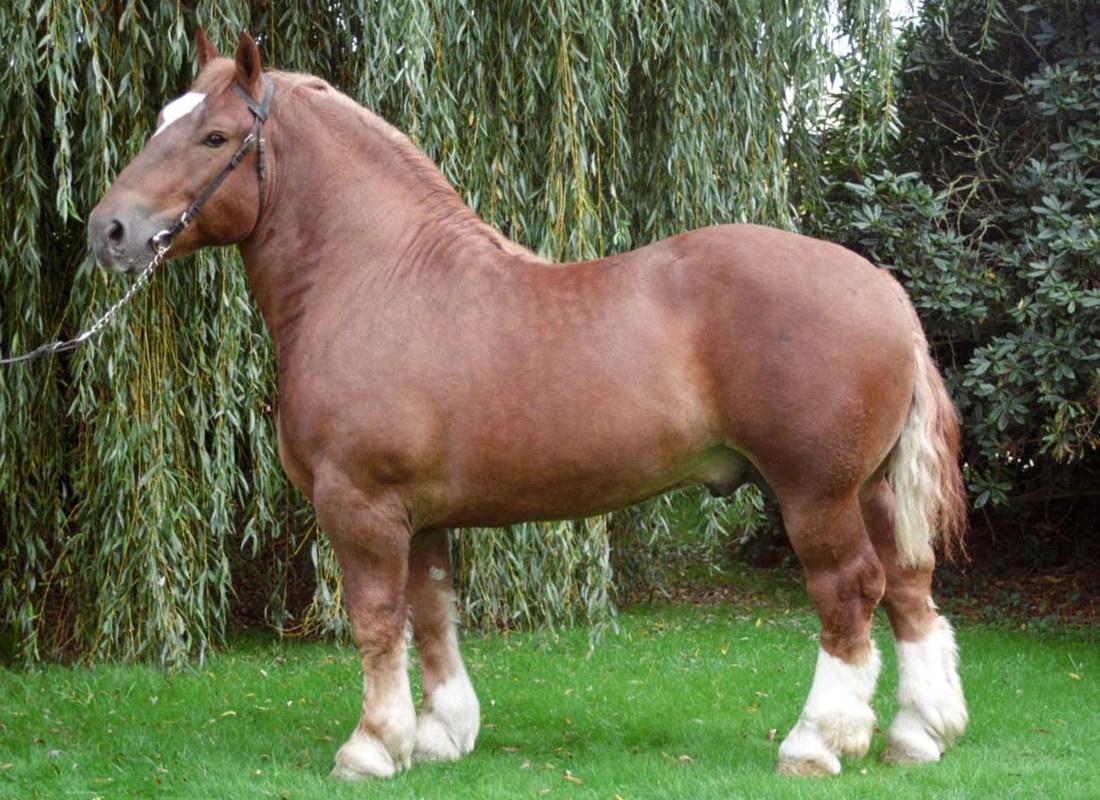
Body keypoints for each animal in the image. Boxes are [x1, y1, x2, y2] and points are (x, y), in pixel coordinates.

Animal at [88, 30, 968, 779]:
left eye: (213, 137)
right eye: (164, 121)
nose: (109, 230)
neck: (374, 278)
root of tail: (883, 289)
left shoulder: (359, 504)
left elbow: (375, 619)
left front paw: (371, 747)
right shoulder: (421, 518)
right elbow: (432, 615)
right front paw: (439, 736)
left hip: (816, 494)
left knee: (849, 593)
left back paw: (817, 742)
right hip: (873, 490)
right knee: (911, 589)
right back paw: (916, 735)